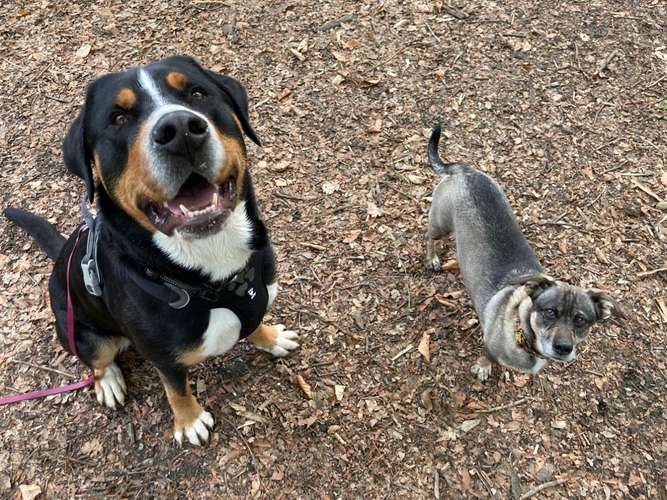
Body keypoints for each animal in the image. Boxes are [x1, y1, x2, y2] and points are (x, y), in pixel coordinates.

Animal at [3, 57, 298, 446]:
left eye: (197, 93)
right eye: (118, 118)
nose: (181, 129)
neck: (213, 268)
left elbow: (256, 322)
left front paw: (271, 337)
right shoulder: (164, 357)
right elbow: (176, 389)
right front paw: (189, 421)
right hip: (81, 332)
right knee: (96, 361)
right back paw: (109, 381)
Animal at [426, 126, 624, 382]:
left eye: (581, 320)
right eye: (550, 312)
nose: (563, 347)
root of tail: (465, 170)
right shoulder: (489, 345)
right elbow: (487, 356)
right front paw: (483, 367)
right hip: (440, 224)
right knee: (429, 237)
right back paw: (432, 258)